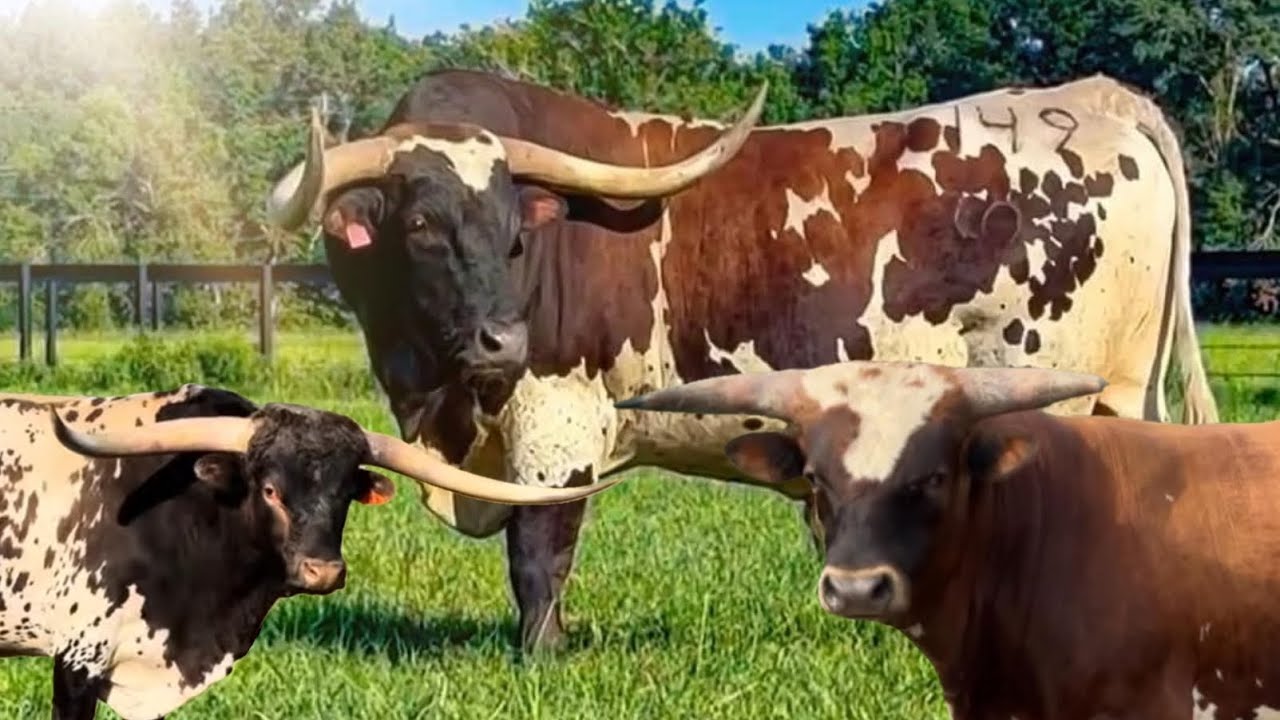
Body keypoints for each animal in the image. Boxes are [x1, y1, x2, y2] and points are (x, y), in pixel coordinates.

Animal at [262, 69, 1219, 652]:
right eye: (422, 223)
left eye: (512, 228)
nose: (504, 338)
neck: (438, 395)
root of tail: (1098, 103)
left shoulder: (556, 413)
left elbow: (540, 551)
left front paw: (541, 657)